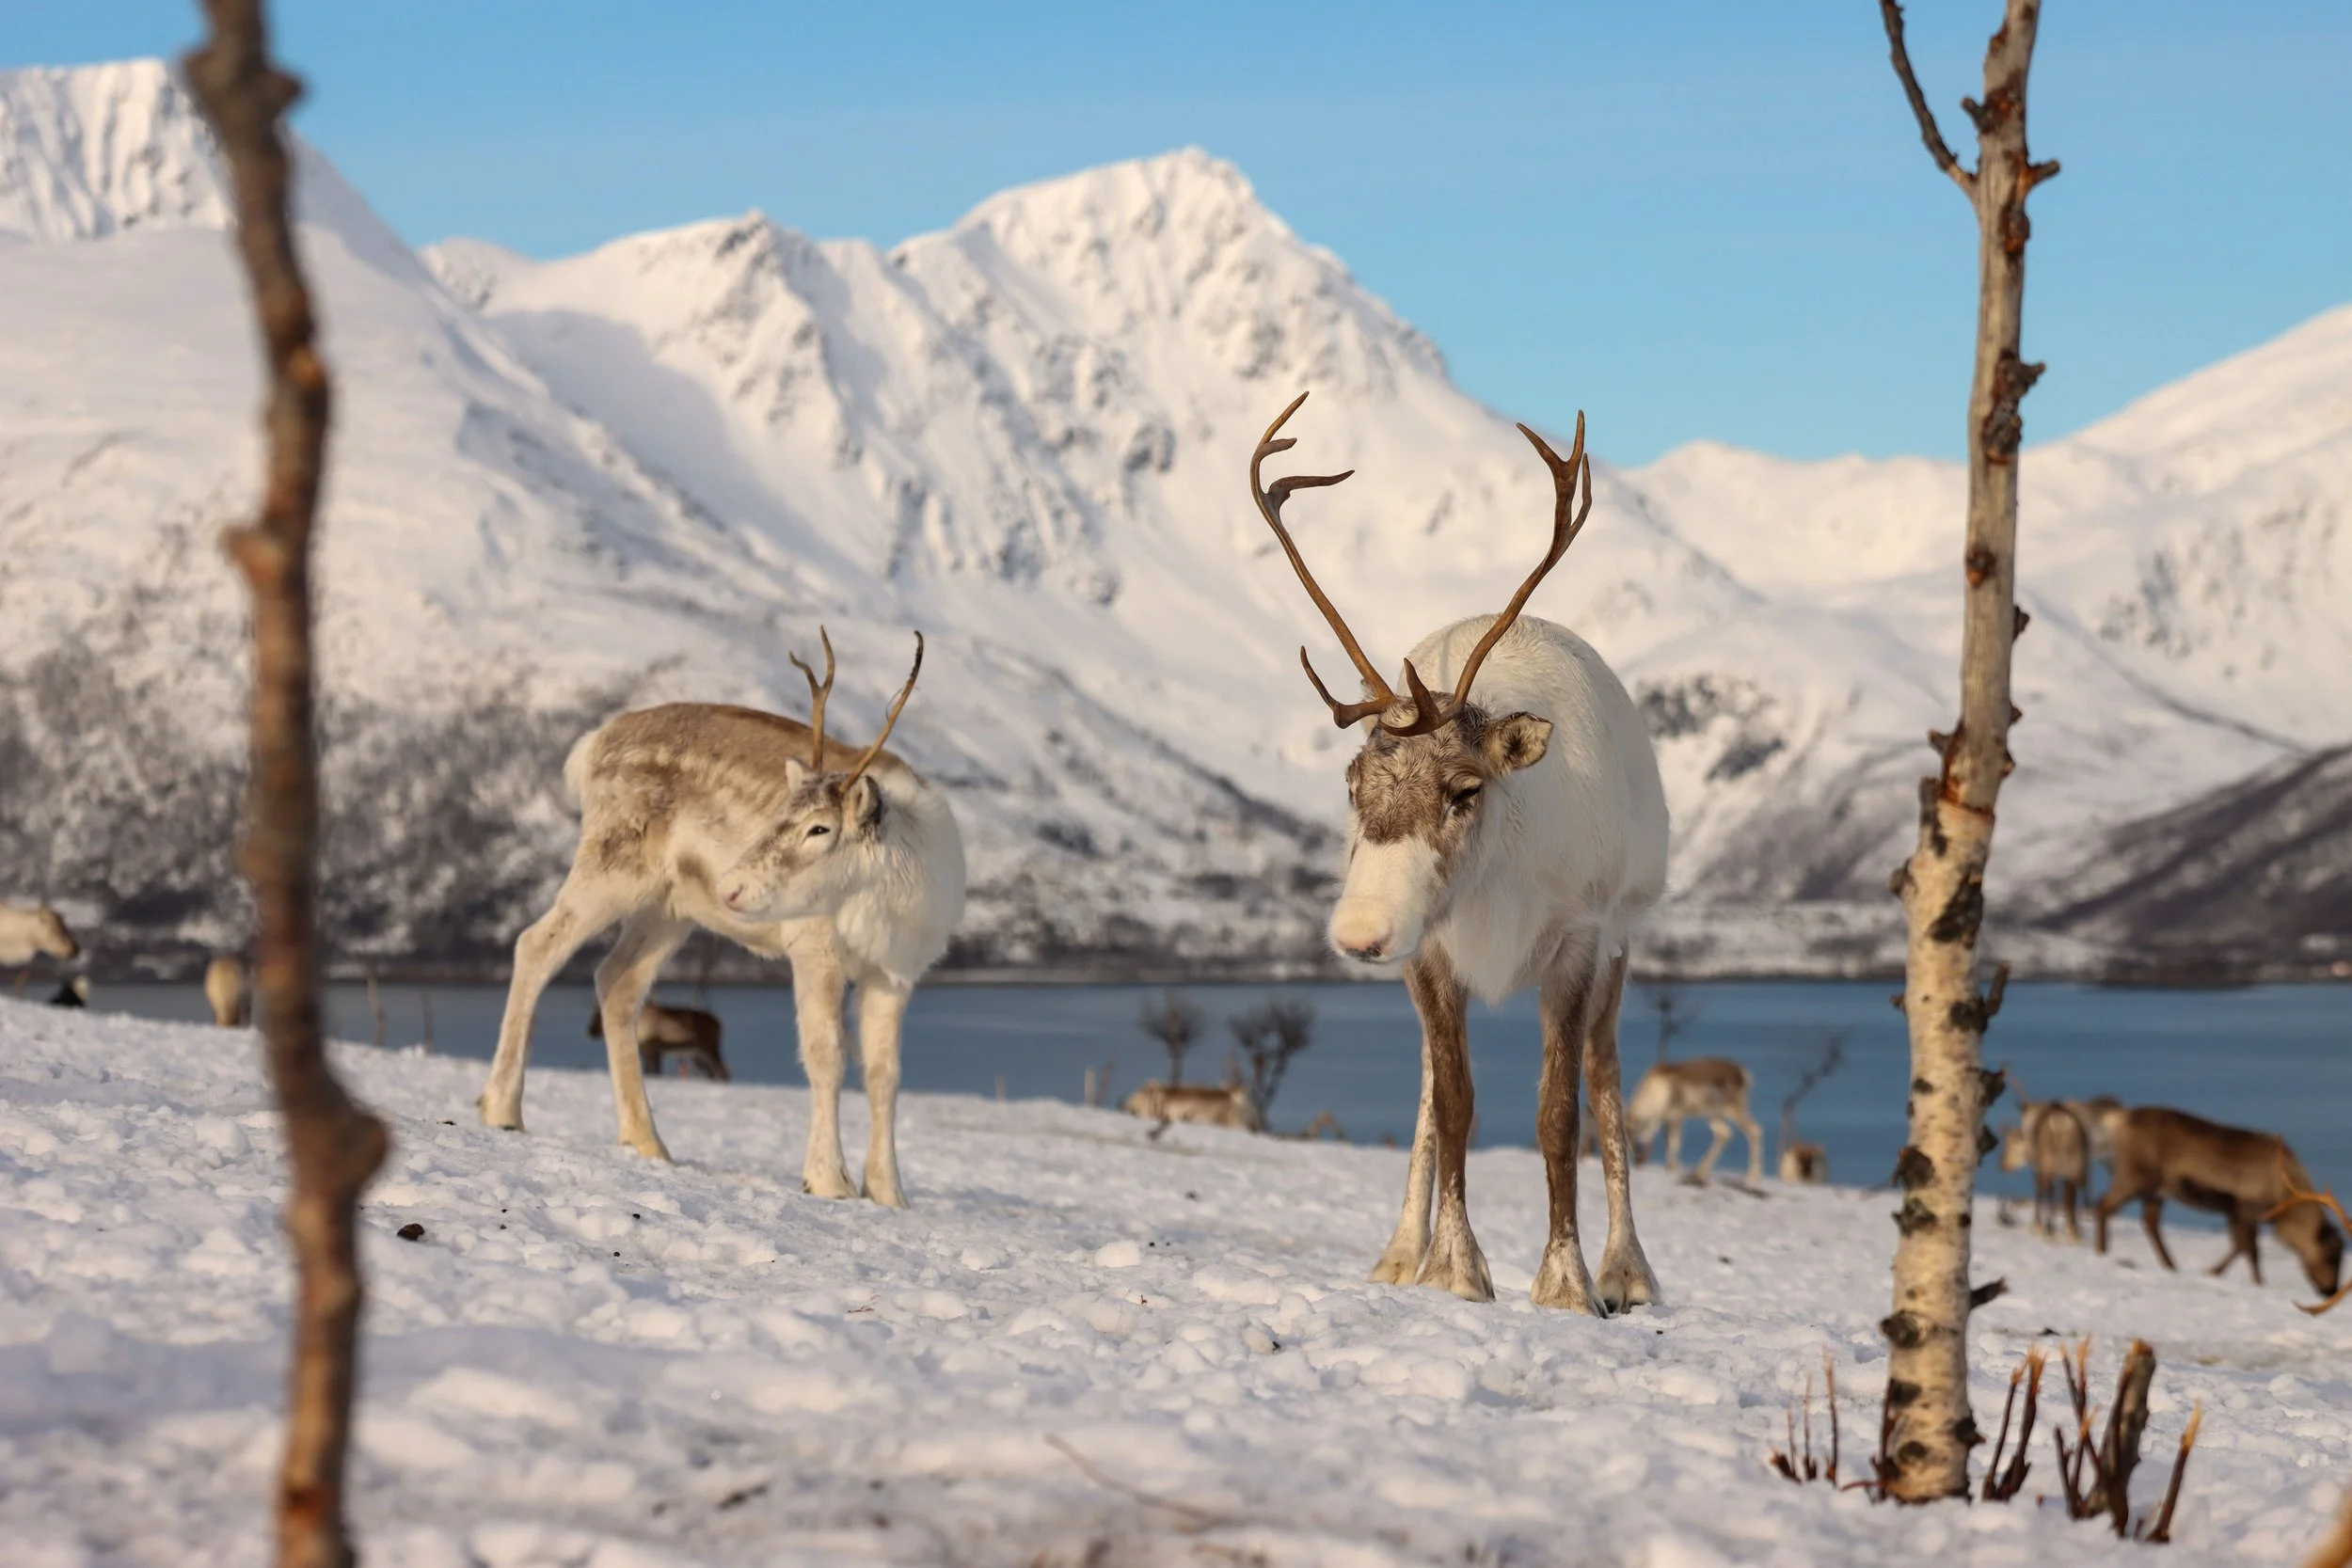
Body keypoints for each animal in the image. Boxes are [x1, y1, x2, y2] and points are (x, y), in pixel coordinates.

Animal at [587, 999, 730, 1082]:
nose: (590, 1032)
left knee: (723, 1069)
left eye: (601, 1016)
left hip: (709, 1047)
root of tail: (720, 1023)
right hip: (698, 1055)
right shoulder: (645, 1050)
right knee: (712, 1072)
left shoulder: (653, 1048)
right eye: (593, 1014)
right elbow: (648, 1071)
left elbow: (655, 1072)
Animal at [1245, 392, 1668, 1315]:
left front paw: (1568, 1281)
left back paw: (1630, 1269)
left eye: (1465, 789)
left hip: (1626, 936)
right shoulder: (1430, 952)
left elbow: (1559, 1112)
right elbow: (1456, 1100)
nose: (1359, 931)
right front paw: (1452, 1266)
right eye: (1354, 781)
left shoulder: (1579, 941)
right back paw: (1401, 1249)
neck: (1494, 882)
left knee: (1608, 1073)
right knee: (1428, 1092)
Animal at [1628, 1059, 1766, 1186]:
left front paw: (1674, 1167)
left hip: (1727, 1108)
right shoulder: (1665, 1118)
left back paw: (1751, 1175)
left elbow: (1675, 1141)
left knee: (1749, 1129)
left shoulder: (1676, 1114)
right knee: (1727, 1132)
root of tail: (1743, 1072)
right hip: (1716, 1112)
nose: (1637, 1162)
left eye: (1628, 1132)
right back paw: (1701, 1171)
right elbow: (1664, 1139)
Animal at [2094, 1107, 2343, 1295]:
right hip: (2135, 1176)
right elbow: (2250, 1249)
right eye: (2332, 1256)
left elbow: (2238, 1245)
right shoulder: (2246, 1207)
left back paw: (2170, 1265)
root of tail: (2119, 1119)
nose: (2330, 1290)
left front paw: (2213, 1271)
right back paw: (2102, 1251)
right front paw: (2258, 1282)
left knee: (2149, 1222)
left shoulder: (2232, 1210)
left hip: (2156, 1190)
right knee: (2104, 1205)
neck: (2283, 1198)